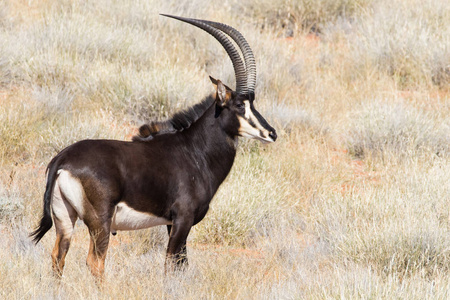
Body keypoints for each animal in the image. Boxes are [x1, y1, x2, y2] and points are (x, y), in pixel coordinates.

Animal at [29, 14, 276, 278]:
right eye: (239, 105)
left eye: (252, 103)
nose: (271, 133)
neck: (195, 151)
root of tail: (62, 160)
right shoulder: (182, 220)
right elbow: (170, 266)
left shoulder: (171, 224)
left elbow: (181, 265)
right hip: (100, 222)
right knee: (95, 262)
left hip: (65, 218)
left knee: (58, 257)